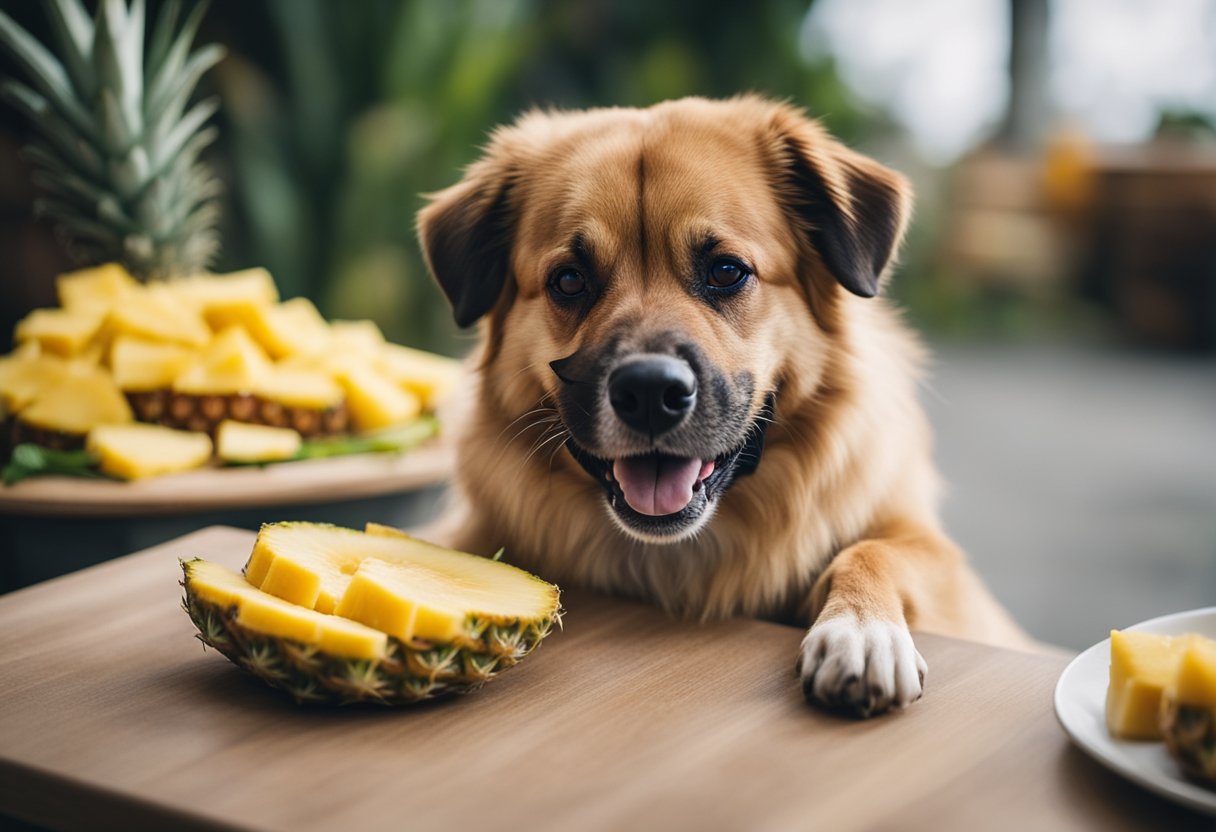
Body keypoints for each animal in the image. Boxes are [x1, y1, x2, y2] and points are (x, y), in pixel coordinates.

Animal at [415, 92, 1026, 715]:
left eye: (727, 271)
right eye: (568, 281)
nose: (649, 394)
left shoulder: (938, 562)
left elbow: (877, 550)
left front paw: (860, 629)